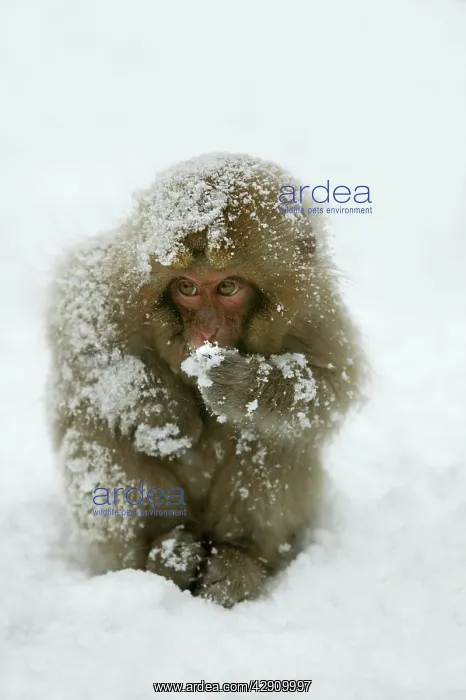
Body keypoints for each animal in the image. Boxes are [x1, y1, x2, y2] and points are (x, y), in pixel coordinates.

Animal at [46, 153, 366, 607]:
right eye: (187, 287)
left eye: (228, 286)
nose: (207, 330)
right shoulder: (115, 278)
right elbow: (84, 330)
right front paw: (167, 416)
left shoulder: (315, 310)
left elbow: (328, 386)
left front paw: (240, 386)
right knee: (98, 427)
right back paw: (165, 554)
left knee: (275, 438)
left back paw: (236, 562)